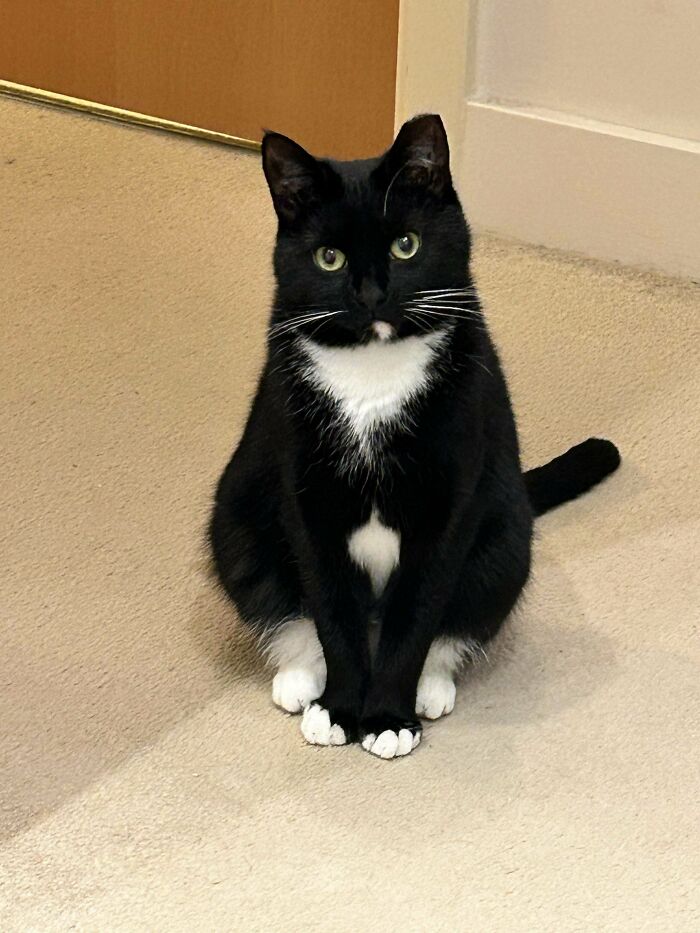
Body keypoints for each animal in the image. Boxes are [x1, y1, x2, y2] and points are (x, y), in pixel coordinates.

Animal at [208, 114, 616, 756]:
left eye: (407, 245)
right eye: (328, 257)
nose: (372, 294)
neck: (374, 375)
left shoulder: (449, 505)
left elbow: (419, 613)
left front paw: (388, 717)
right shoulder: (307, 500)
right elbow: (330, 609)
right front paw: (341, 708)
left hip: (507, 540)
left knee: (462, 613)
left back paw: (433, 685)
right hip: (235, 518)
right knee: (280, 601)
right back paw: (300, 677)